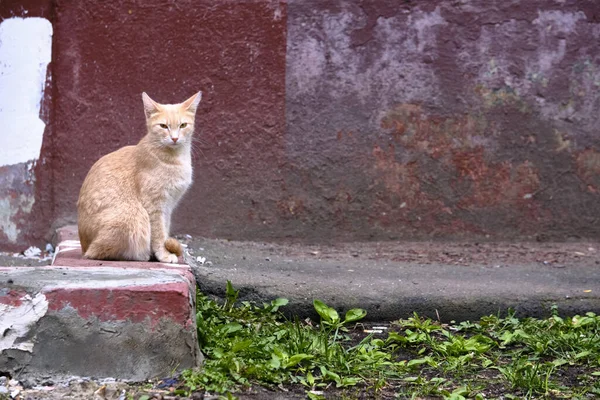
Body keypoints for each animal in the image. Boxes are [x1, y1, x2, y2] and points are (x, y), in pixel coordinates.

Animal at [75, 92, 199, 264]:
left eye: (183, 125)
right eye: (163, 126)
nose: (174, 138)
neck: (176, 158)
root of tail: (83, 247)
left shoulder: (168, 206)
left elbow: (165, 229)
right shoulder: (154, 205)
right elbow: (159, 234)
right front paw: (163, 254)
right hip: (133, 215)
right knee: (97, 252)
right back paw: (140, 255)